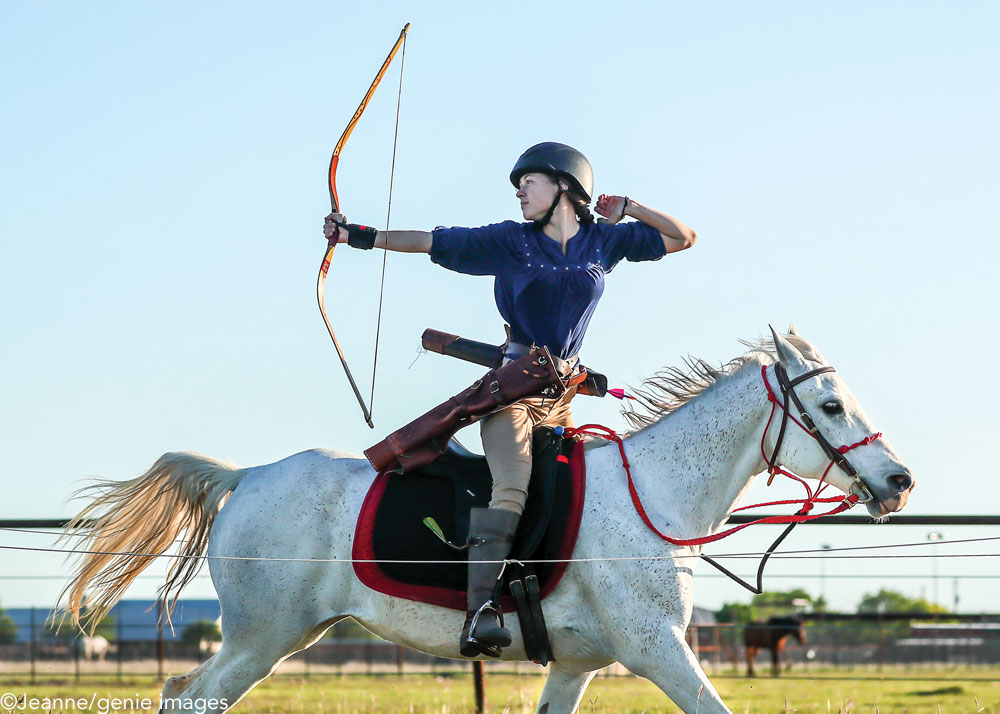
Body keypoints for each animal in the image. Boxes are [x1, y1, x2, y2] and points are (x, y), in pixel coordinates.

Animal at [58, 328, 912, 712]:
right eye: (831, 407)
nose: (899, 482)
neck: (656, 494)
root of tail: (247, 476)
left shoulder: (576, 666)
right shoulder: (657, 650)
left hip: (284, 636)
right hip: (261, 639)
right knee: (189, 696)